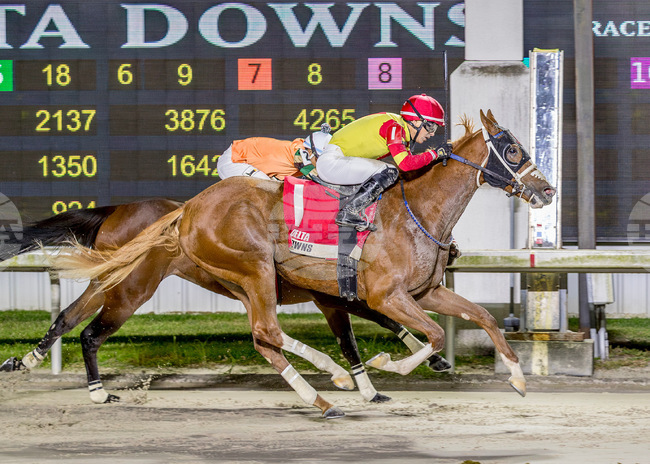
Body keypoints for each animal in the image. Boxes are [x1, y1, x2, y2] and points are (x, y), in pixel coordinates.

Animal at [2, 199, 452, 405]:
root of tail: (116, 211)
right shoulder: (331, 297)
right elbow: (364, 330)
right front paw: (379, 378)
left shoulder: (335, 295)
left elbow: (378, 323)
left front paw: (425, 361)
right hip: (132, 288)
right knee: (93, 332)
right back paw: (96, 390)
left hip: (107, 278)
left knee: (67, 317)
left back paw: (27, 361)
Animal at [54, 110, 556, 418]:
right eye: (513, 151)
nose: (547, 191)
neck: (418, 210)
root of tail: (189, 209)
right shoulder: (385, 295)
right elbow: (429, 334)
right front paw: (389, 366)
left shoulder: (422, 292)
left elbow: (483, 316)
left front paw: (517, 377)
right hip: (243, 269)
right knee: (267, 332)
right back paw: (328, 382)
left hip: (241, 281)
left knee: (264, 338)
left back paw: (322, 396)